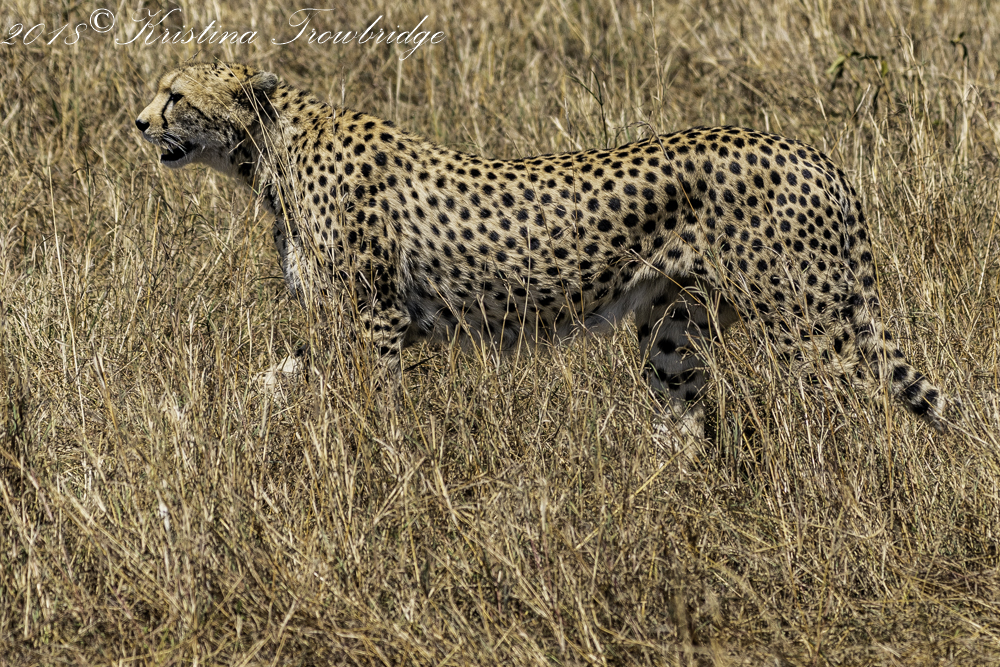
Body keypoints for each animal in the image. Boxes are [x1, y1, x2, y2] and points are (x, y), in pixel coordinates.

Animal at [135, 62, 951, 435]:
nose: (138, 122)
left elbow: (376, 396)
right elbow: (284, 376)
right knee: (690, 415)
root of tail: (812, 153)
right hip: (672, 327)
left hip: (805, 320)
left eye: (176, 94)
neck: (268, 152)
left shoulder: (378, 314)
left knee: (865, 407)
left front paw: (378, 459)